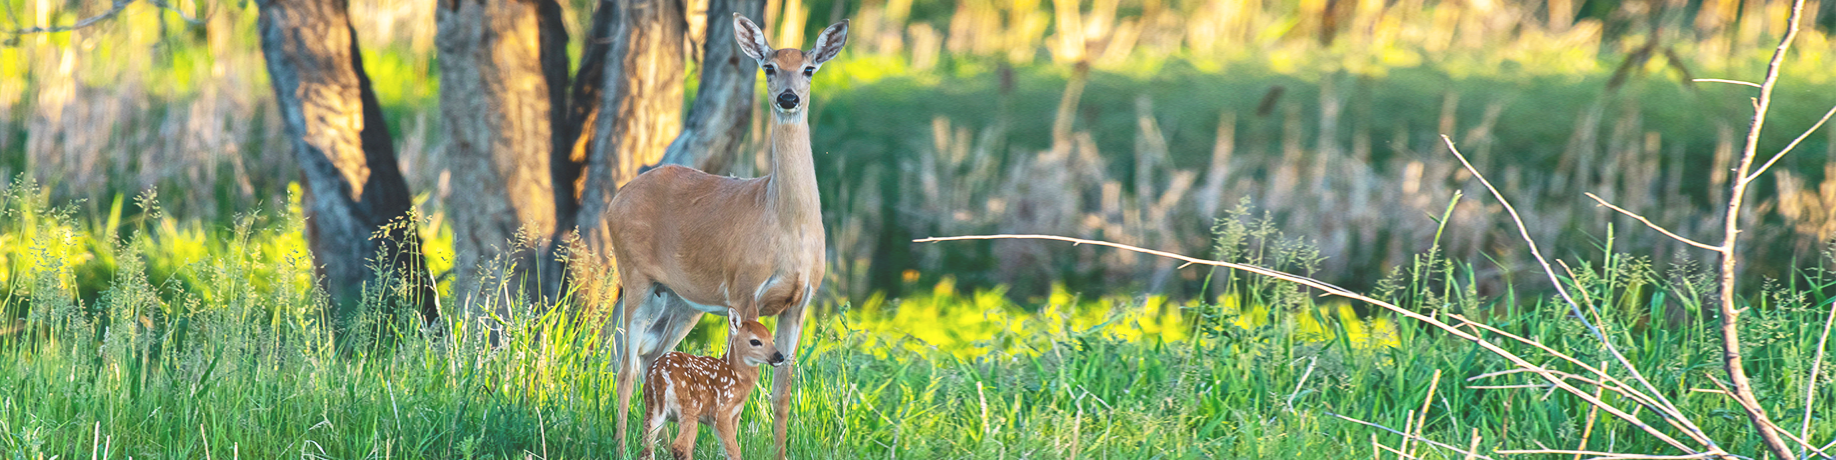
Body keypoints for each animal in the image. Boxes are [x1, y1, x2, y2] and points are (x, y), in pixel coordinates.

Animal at [640, 312, 786, 460]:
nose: (780, 357)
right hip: (690, 406)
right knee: (680, 446)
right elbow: (733, 450)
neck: (736, 375)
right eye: (755, 341)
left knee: (646, 444)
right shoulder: (720, 410)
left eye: (772, 339)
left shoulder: (735, 414)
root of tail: (660, 372)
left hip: (653, 407)